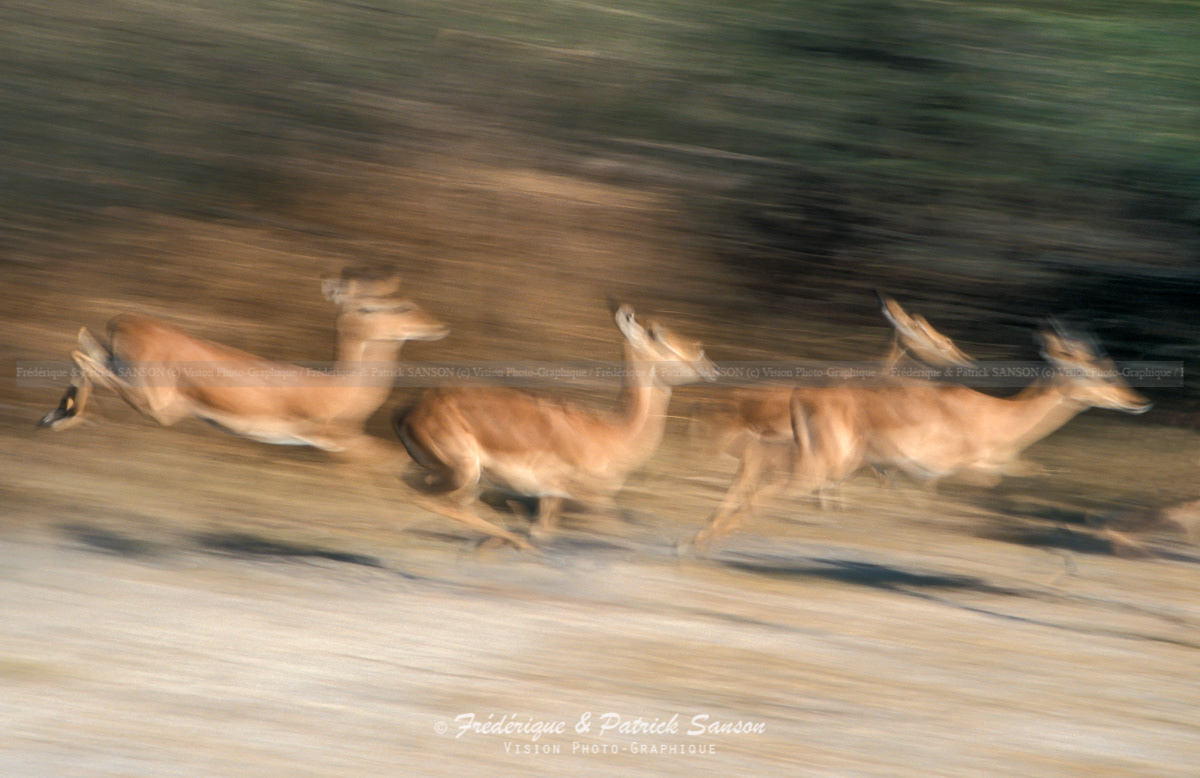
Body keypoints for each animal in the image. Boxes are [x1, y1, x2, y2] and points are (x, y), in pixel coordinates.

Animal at [37, 269, 449, 456]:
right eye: (380, 307)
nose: (438, 325)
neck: (340, 391)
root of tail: (122, 320)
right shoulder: (336, 440)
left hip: (125, 370)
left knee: (82, 342)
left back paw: (53, 416)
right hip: (157, 403)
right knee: (81, 355)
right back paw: (64, 420)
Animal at [394, 304, 717, 551]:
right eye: (655, 333)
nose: (708, 364)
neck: (612, 434)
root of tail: (412, 412)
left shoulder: (552, 497)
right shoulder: (580, 496)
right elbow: (623, 535)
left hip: (456, 476)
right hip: (466, 472)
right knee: (434, 503)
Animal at [693, 324, 1151, 550]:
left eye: (1111, 367)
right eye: (1093, 371)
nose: (1138, 401)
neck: (999, 418)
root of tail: (801, 392)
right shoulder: (955, 471)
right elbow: (1038, 479)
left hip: (815, 455)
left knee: (753, 465)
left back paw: (697, 540)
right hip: (826, 463)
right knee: (764, 488)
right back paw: (701, 545)